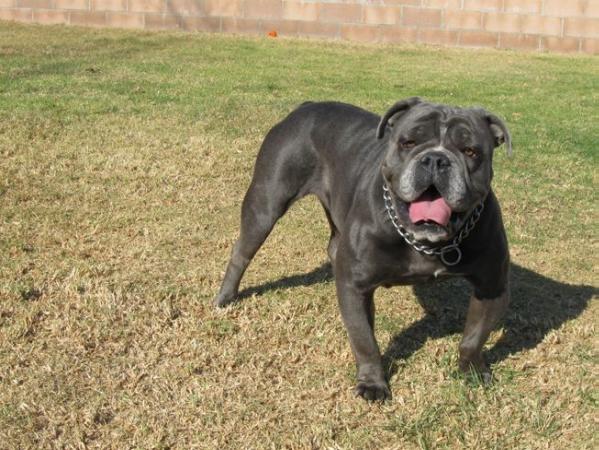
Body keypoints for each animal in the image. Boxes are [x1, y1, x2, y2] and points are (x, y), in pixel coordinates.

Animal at [213, 97, 512, 400]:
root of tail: (306, 106)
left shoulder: (492, 287)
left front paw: (472, 370)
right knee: (241, 252)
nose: (436, 159)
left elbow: (473, 337)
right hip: (266, 203)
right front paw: (372, 383)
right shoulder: (356, 288)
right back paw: (225, 297)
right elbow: (364, 340)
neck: (422, 240)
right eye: (408, 142)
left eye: (470, 151)